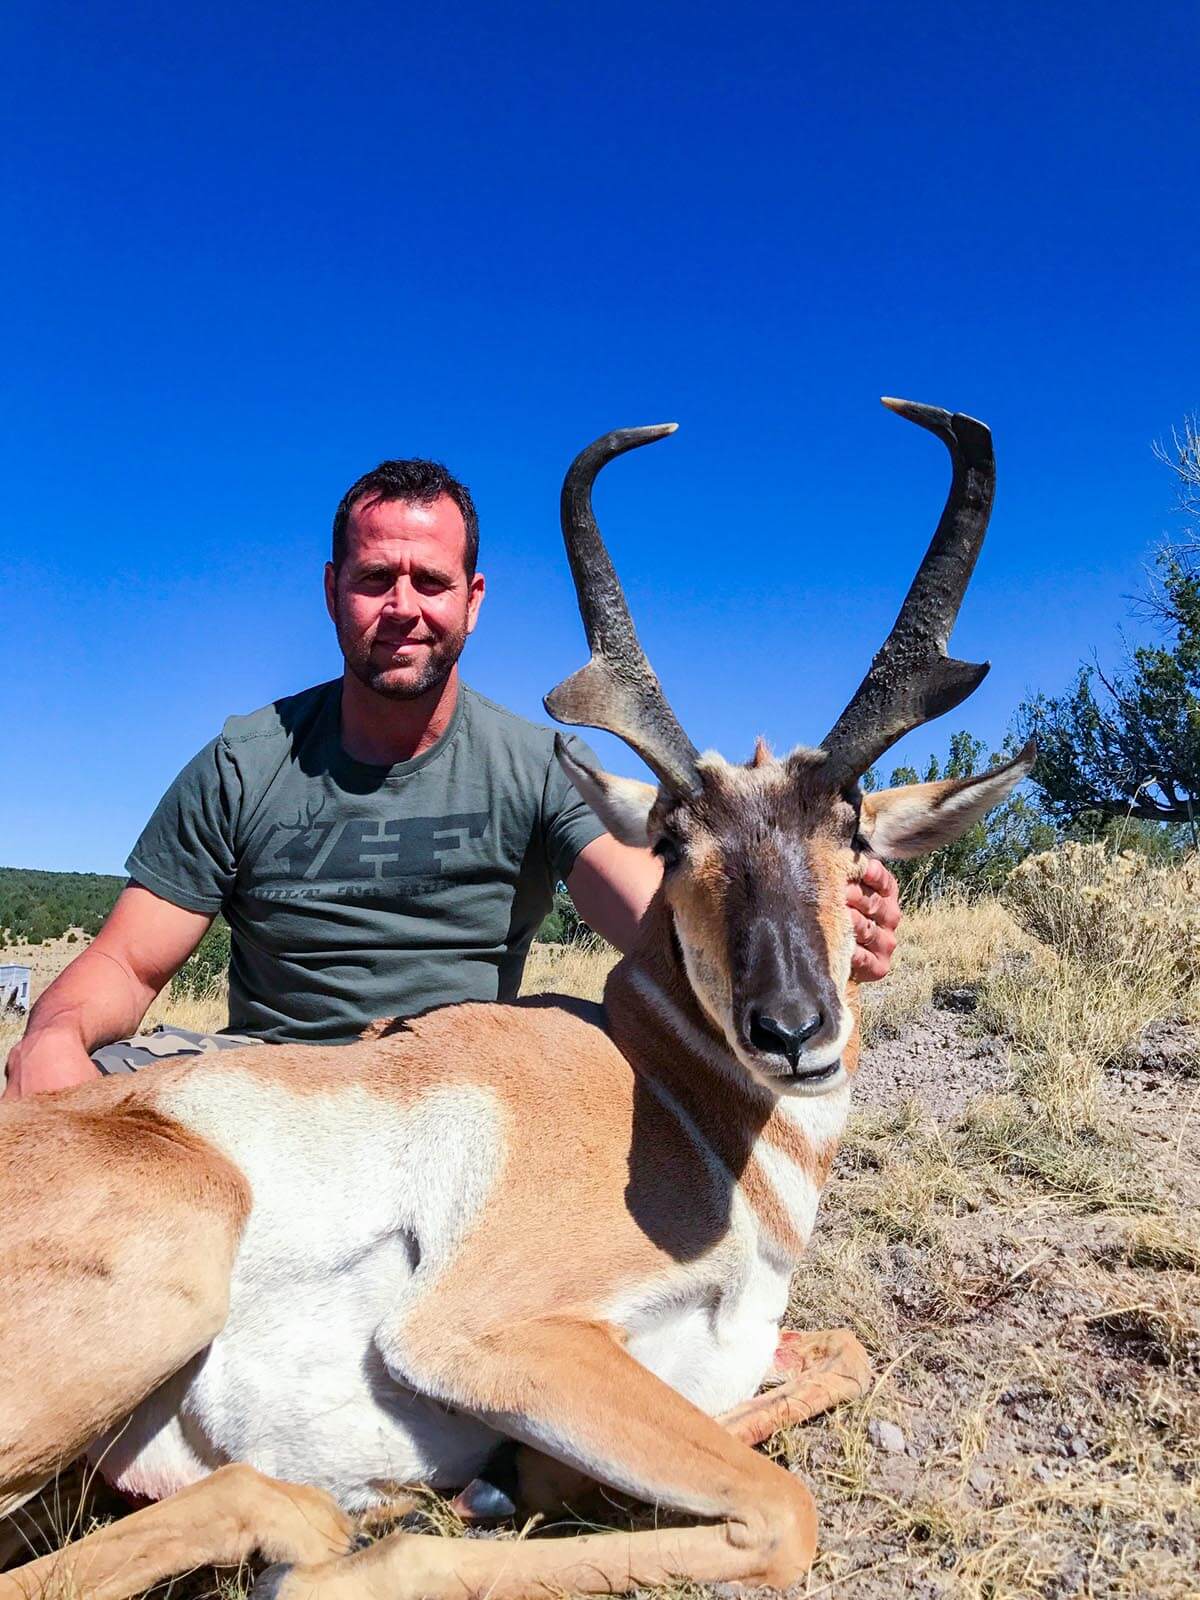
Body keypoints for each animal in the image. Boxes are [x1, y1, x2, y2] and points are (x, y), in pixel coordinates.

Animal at [0, 396, 1036, 1600]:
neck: (669, 1098)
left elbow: (842, 1358)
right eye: (674, 843)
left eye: (854, 832)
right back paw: (318, 1533)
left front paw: (524, 1482)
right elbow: (781, 1508)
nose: (791, 1029)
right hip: (184, 1243)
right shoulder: (489, 1337)